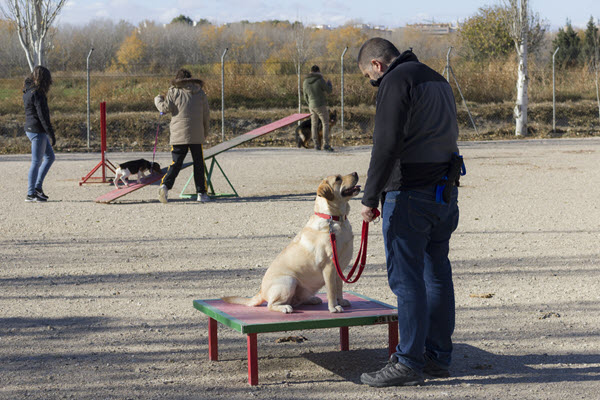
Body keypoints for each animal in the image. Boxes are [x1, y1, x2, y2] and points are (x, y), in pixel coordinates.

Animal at [221, 171, 358, 312]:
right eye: (338, 179)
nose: (355, 173)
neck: (335, 220)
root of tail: (261, 291)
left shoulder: (339, 269)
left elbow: (339, 288)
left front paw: (340, 301)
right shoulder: (329, 266)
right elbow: (331, 291)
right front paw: (333, 307)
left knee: (297, 300)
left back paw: (311, 299)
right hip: (289, 281)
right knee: (271, 305)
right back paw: (285, 308)